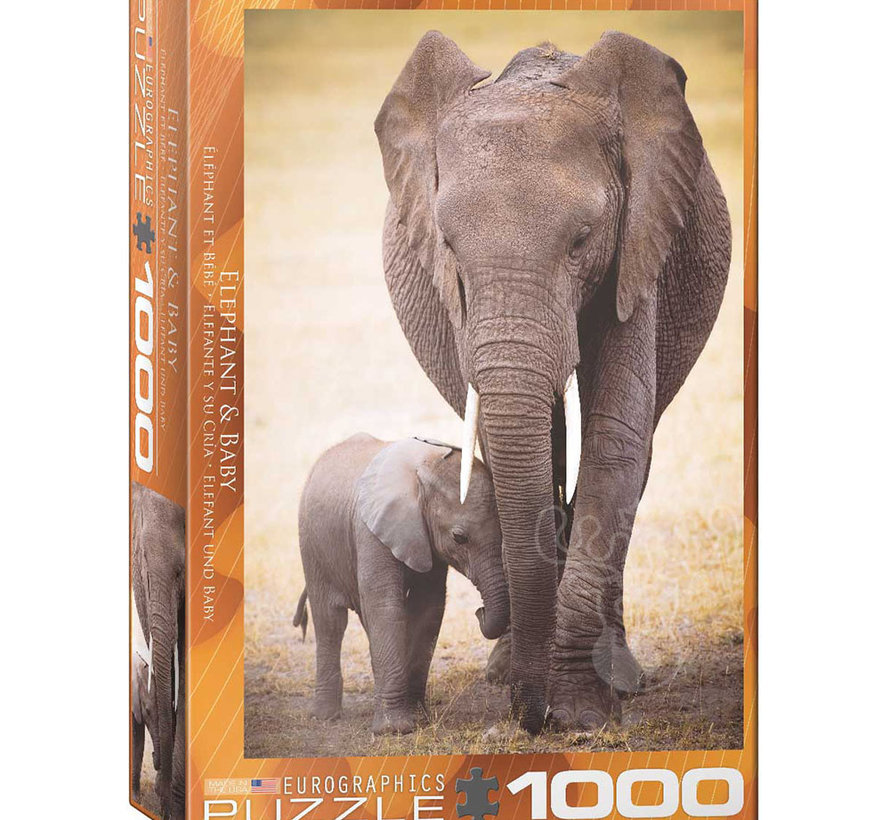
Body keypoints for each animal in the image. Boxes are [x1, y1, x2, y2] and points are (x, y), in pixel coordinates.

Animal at [293, 434, 509, 734]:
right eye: (459, 538)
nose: (480, 611)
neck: (423, 468)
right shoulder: (370, 531)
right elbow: (385, 606)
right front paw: (394, 730)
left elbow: (428, 608)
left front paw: (418, 718)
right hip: (312, 545)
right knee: (330, 621)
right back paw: (325, 716)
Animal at [375, 31, 731, 733]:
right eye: (448, 246)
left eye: (583, 240)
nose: (527, 718)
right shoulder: (457, 302)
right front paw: (535, 689)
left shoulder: (639, 245)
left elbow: (615, 439)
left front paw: (582, 711)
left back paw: (615, 672)